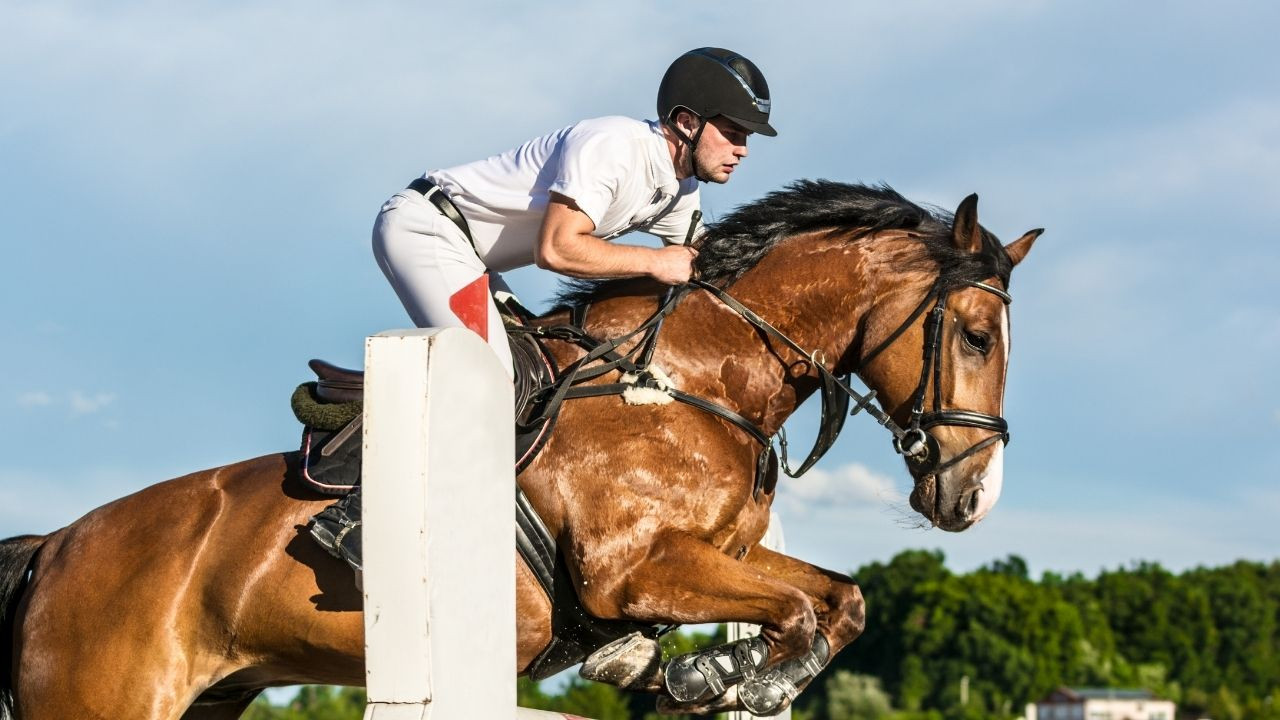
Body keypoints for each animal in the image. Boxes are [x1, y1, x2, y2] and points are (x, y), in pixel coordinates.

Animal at [0, 179, 1039, 717]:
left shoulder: (720, 556)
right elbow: (797, 610)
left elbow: (839, 600)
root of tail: (54, 545)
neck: (694, 379)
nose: (971, 499)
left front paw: (707, 672)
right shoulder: (634, 571)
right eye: (975, 337)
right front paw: (712, 672)